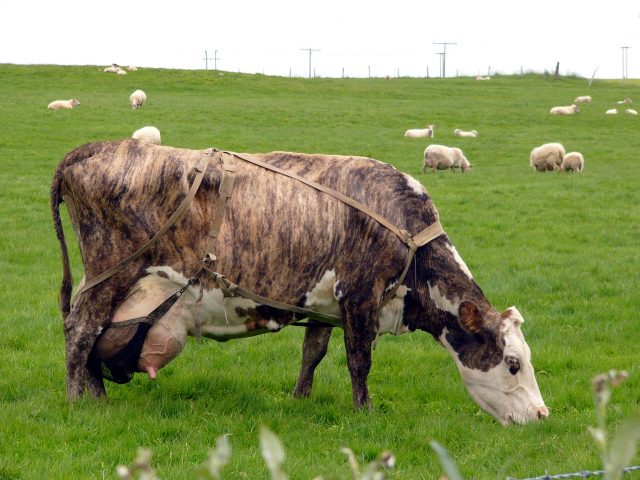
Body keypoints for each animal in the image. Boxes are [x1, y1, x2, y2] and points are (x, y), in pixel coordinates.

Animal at [52, 139, 548, 424]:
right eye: (512, 363)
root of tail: (94, 147)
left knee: (91, 337)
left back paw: (95, 393)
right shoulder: (360, 297)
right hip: (110, 273)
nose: (542, 414)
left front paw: (300, 398)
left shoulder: (325, 304)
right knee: (80, 331)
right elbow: (358, 361)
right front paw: (365, 411)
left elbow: (314, 352)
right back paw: (82, 402)